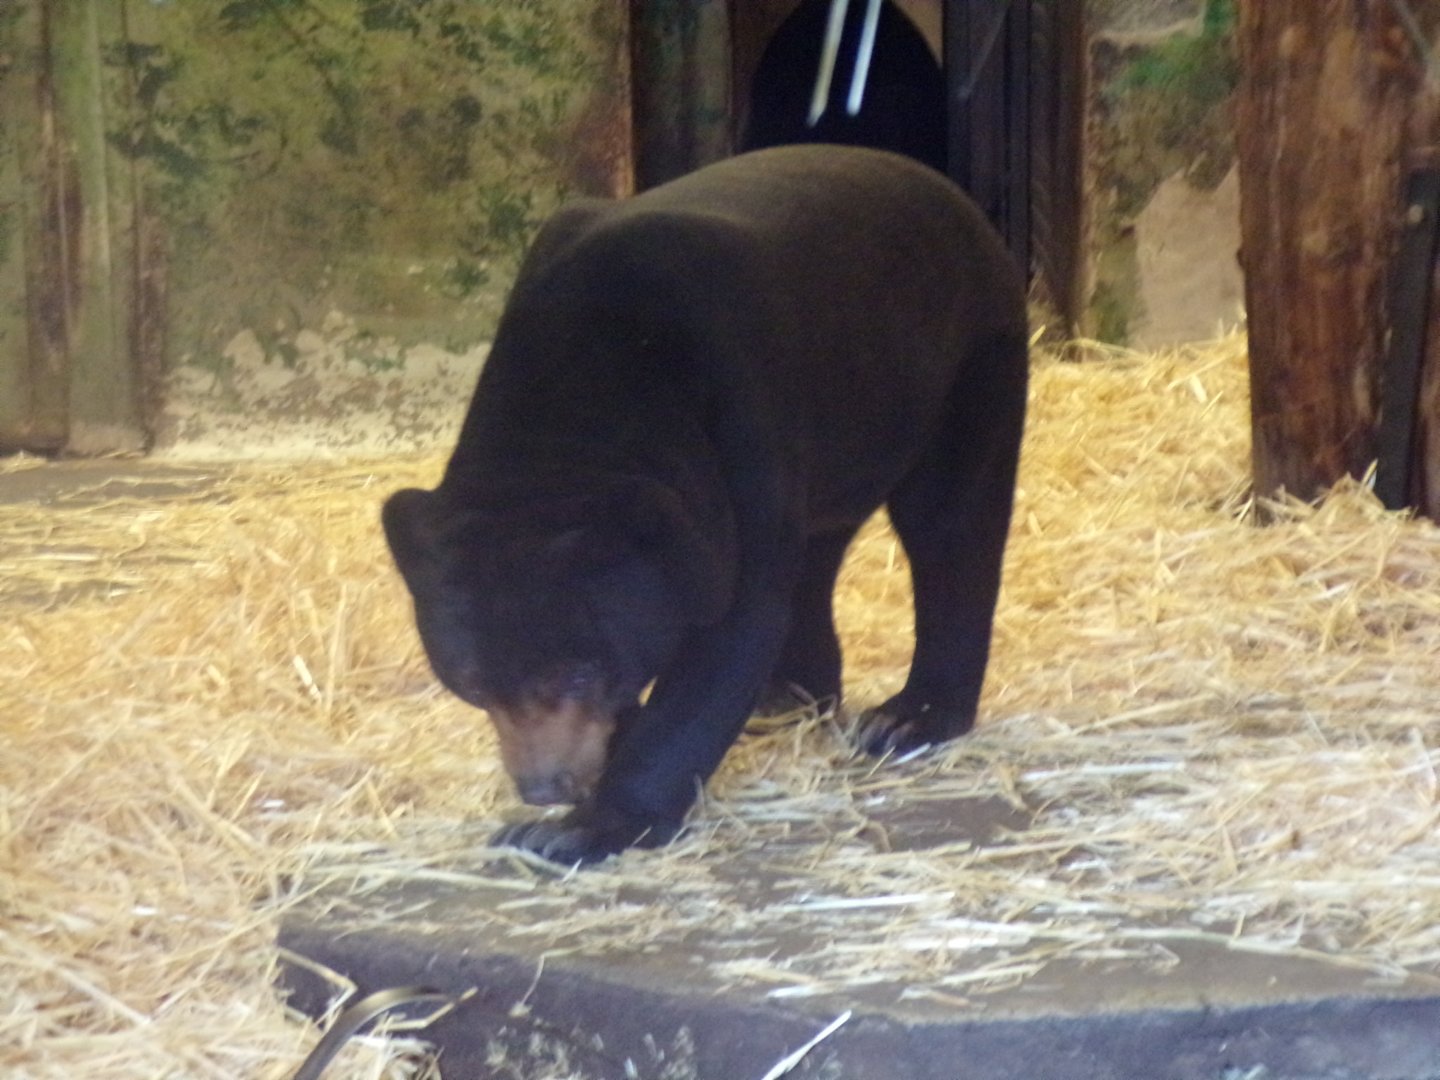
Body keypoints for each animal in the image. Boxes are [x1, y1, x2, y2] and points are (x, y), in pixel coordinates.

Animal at [382, 144, 1028, 865]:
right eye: (471, 681)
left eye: (580, 673)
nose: (544, 785)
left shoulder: (739, 401)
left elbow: (733, 624)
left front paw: (577, 829)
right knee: (817, 551)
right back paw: (788, 697)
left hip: (963, 358)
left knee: (949, 521)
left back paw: (908, 716)